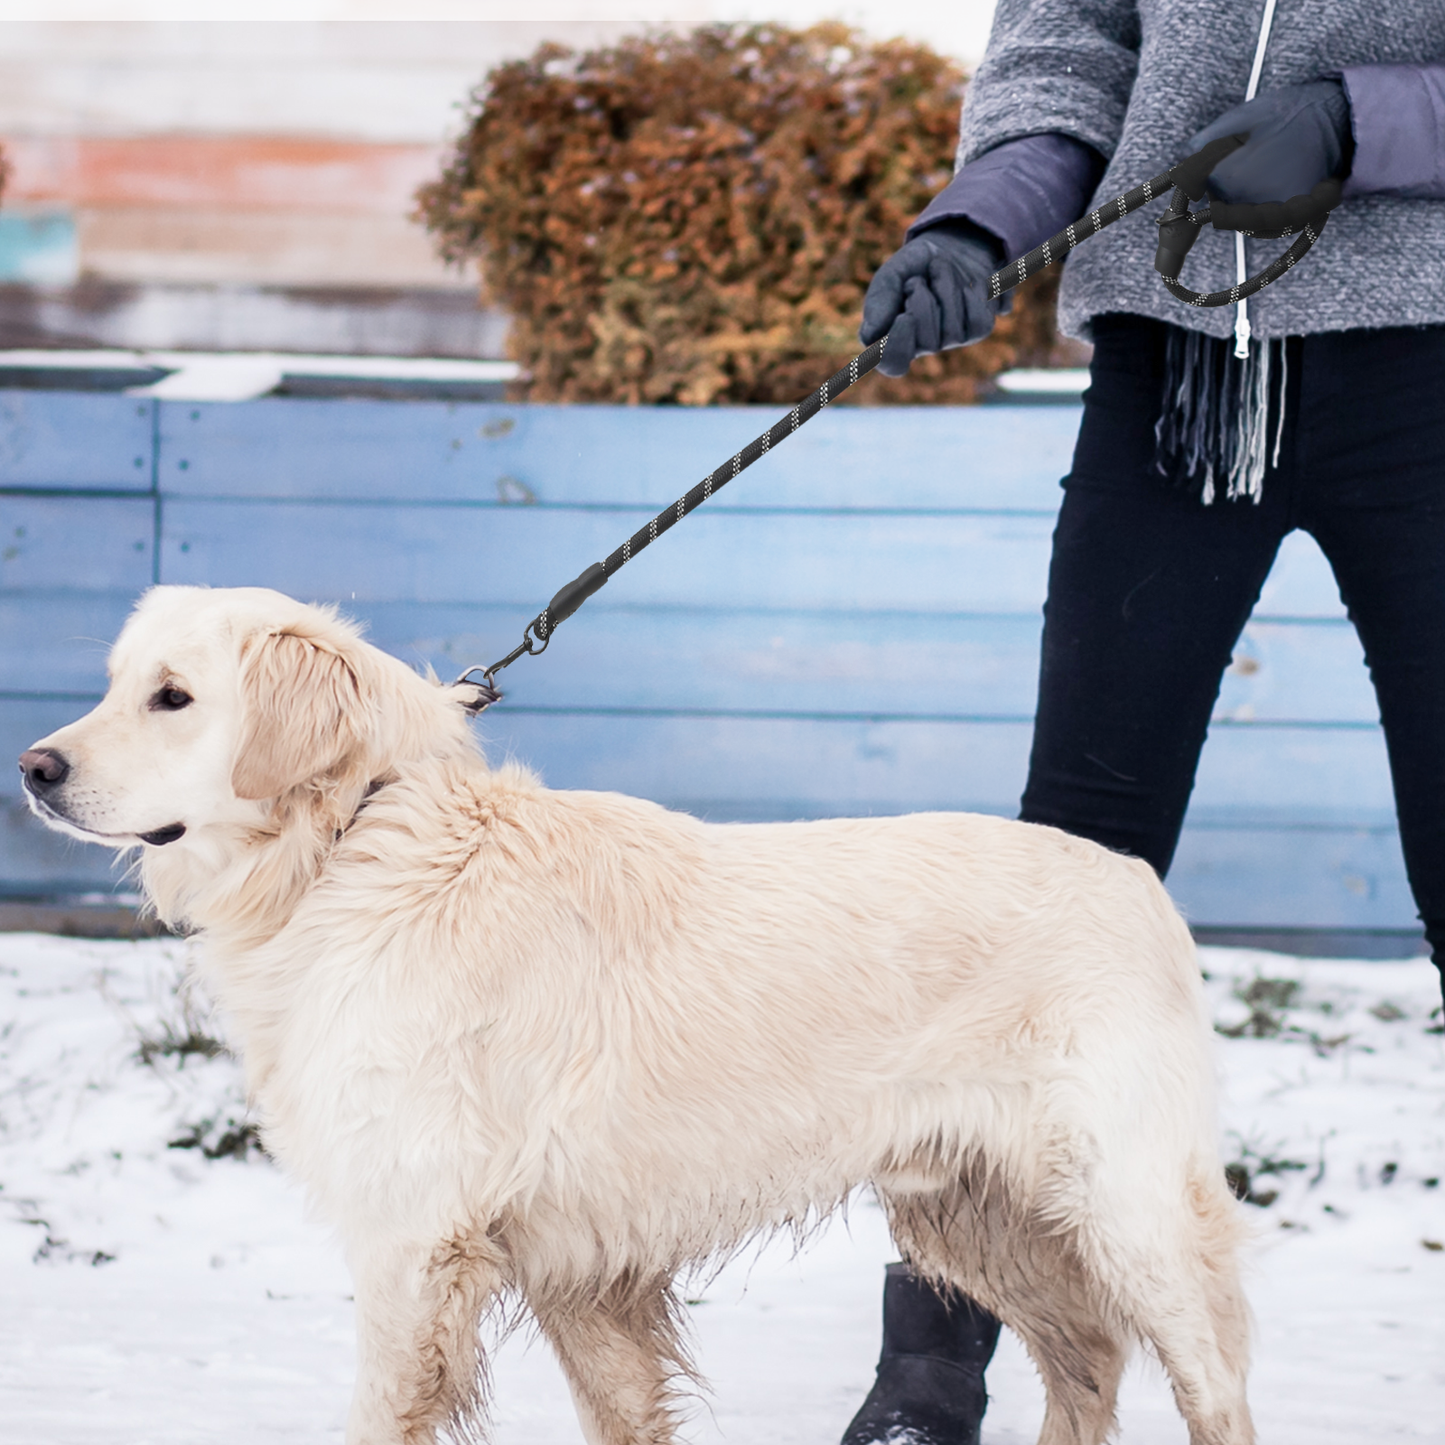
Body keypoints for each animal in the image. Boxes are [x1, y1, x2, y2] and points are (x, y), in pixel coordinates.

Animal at [16, 586, 1254, 1445]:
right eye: (118, 683)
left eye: (173, 697)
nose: (33, 767)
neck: (356, 842)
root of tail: (1135, 879)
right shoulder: (576, 1272)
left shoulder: (415, 1245)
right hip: (970, 1215)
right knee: (1087, 1359)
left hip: (1129, 1213)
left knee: (1208, 1383)